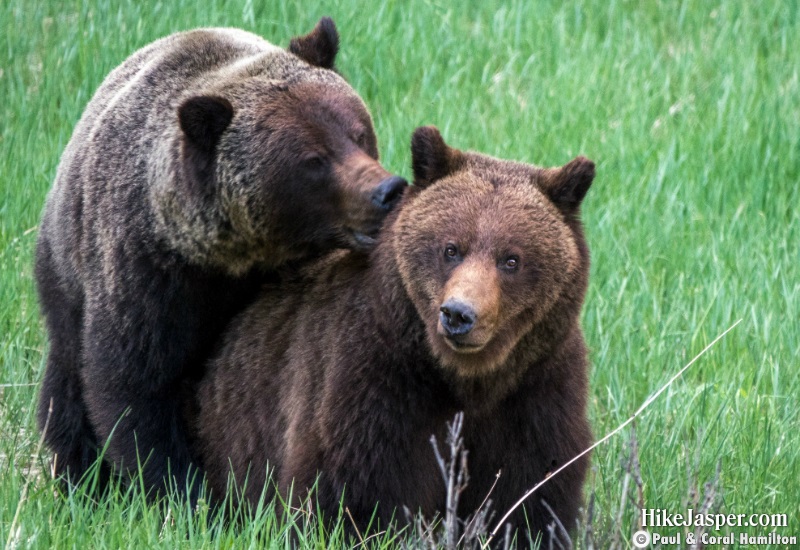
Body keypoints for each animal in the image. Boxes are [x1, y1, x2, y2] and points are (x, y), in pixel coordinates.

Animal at [34, 17, 406, 502]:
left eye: (359, 133)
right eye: (314, 161)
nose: (387, 190)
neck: (230, 257)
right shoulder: (147, 274)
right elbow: (133, 386)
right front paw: (182, 490)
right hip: (66, 276)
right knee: (65, 388)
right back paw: (80, 478)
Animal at [192, 126, 592, 544]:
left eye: (511, 259)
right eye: (451, 248)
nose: (458, 314)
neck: (468, 379)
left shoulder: (536, 389)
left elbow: (532, 488)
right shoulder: (379, 377)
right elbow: (357, 484)